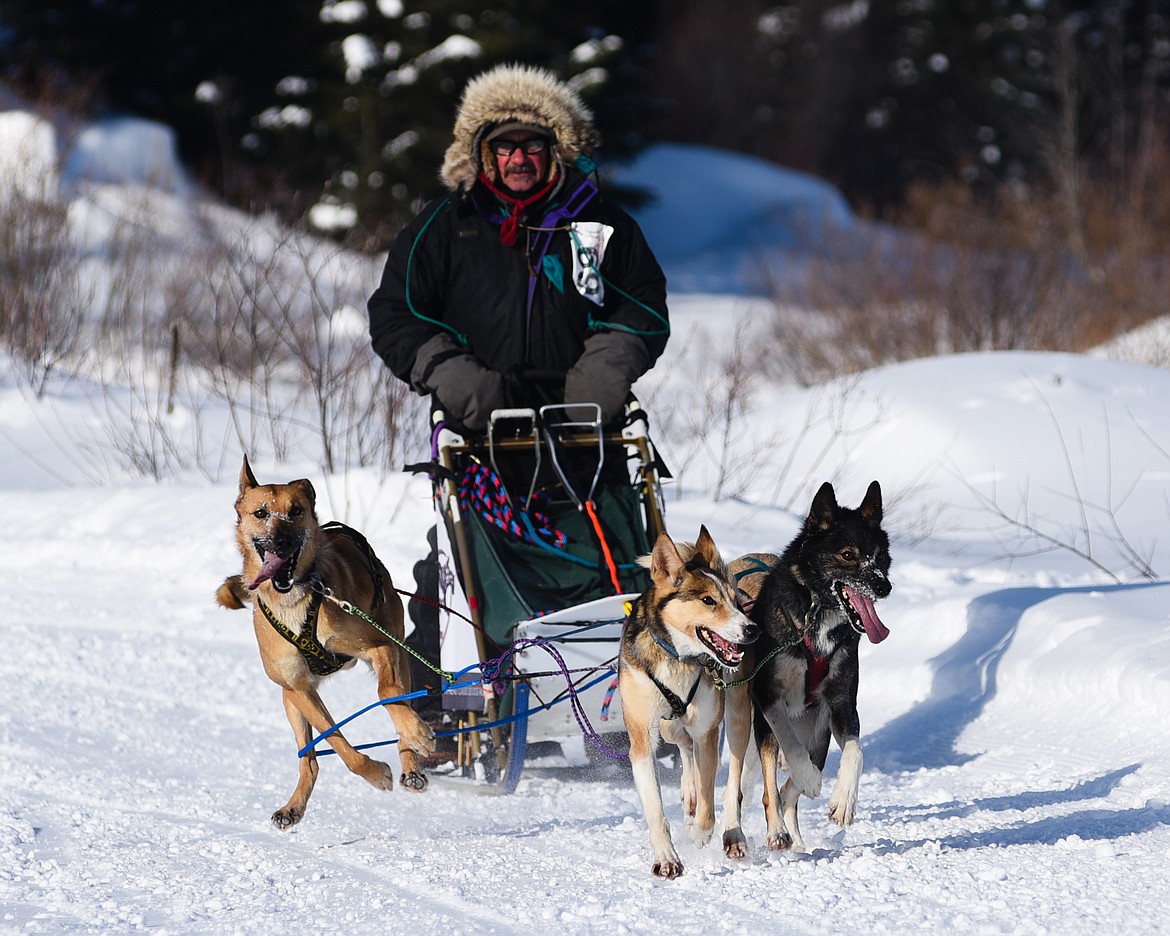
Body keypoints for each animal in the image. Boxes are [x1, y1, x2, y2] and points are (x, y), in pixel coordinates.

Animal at [217, 456, 437, 828]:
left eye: (296, 511)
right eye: (261, 513)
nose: (282, 541)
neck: (295, 600)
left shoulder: (381, 648)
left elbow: (387, 695)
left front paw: (417, 734)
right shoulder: (300, 688)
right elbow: (337, 743)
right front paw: (375, 772)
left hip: (398, 653)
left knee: (399, 699)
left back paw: (411, 760)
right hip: (289, 701)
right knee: (309, 758)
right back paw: (293, 805)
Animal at [617, 526, 762, 879]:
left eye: (735, 601)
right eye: (708, 600)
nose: (752, 629)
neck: (678, 659)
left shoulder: (707, 731)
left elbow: (710, 806)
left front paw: (700, 833)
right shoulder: (642, 737)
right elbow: (656, 810)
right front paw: (667, 858)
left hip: (736, 716)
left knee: (731, 785)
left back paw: (731, 832)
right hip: (667, 726)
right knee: (683, 748)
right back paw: (689, 794)